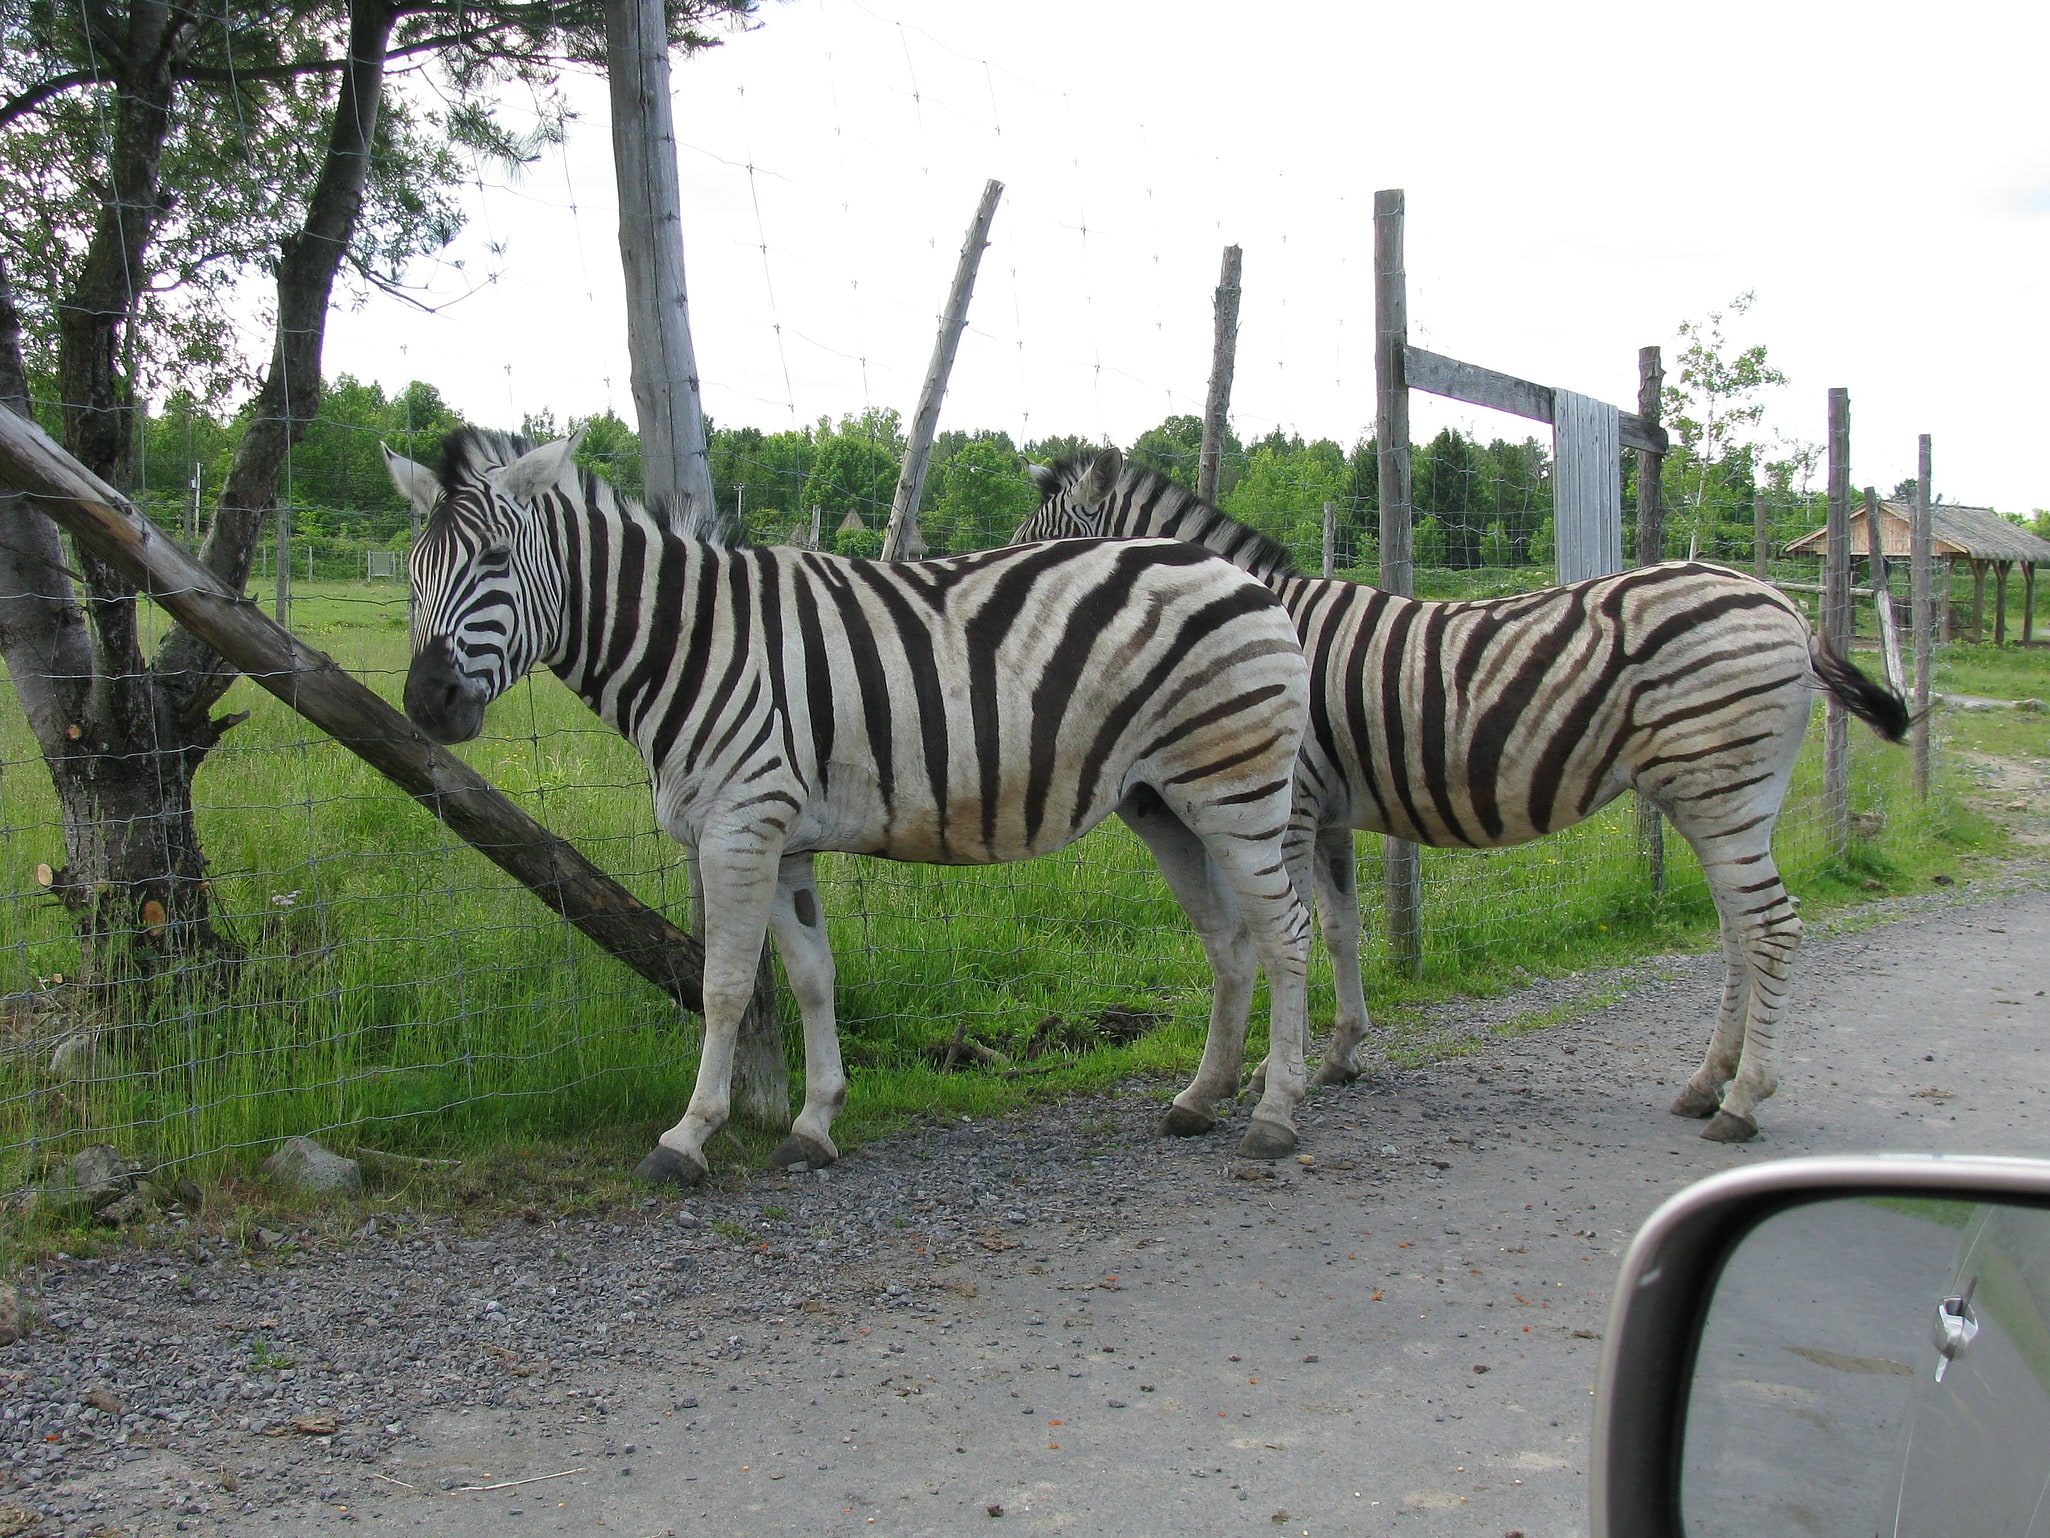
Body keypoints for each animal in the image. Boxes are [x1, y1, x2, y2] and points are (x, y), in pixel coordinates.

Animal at [383, 428, 1312, 1189]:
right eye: (413, 572)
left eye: (495, 560)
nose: (425, 704)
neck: (692, 643)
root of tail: (1246, 576)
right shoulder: (782, 837)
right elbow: (811, 977)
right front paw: (814, 1122)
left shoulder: (740, 826)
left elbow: (726, 986)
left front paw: (688, 1137)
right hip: (1163, 802)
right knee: (1231, 942)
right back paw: (1198, 1101)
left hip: (1235, 786)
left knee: (1286, 934)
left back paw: (1274, 1116)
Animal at [1016, 444, 1910, 1148]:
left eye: (1036, 549)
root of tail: (1782, 603)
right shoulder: (1328, 812)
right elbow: (1340, 928)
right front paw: (1340, 1052)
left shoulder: (1290, 804)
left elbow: (1291, 937)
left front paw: (1276, 1069)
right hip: (1718, 797)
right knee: (1739, 931)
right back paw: (1706, 1084)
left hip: (1720, 787)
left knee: (1769, 929)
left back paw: (1742, 1101)